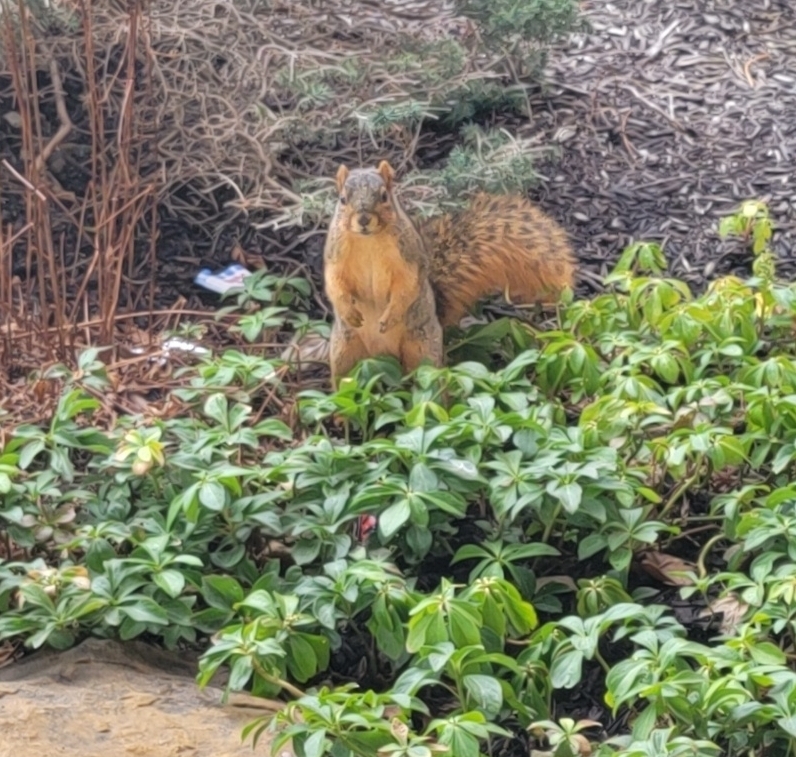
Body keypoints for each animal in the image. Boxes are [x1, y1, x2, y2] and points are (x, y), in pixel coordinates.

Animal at [320, 159, 576, 384]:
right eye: (342, 199)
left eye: (384, 196)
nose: (363, 219)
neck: (368, 240)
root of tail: (383, 355)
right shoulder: (335, 255)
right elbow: (334, 282)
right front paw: (349, 311)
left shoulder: (409, 257)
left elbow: (407, 285)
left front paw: (390, 316)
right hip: (344, 352)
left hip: (422, 350)